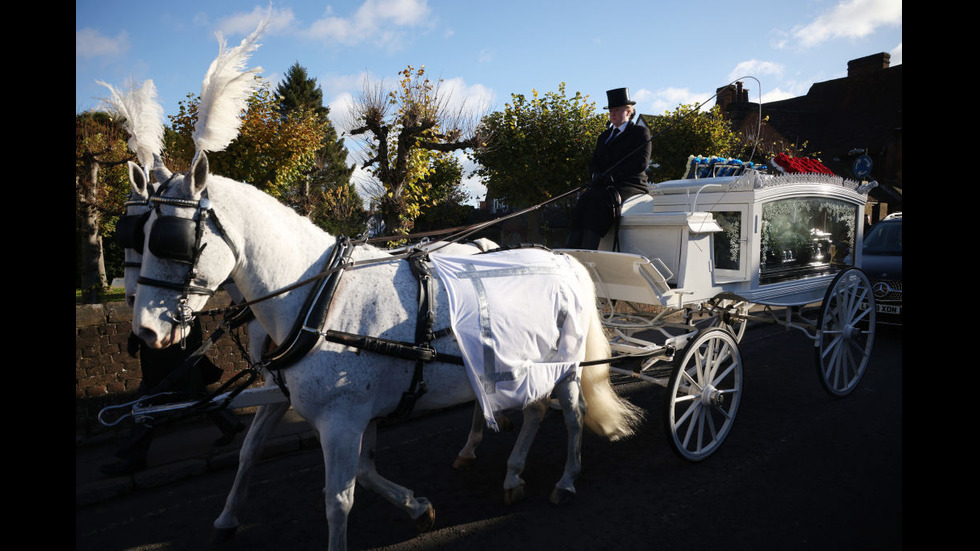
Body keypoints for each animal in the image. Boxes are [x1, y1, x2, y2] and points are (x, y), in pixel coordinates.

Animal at [132, 153, 644, 548]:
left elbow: (339, 499)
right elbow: (269, 454)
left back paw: (566, 480)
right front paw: (417, 506)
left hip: (566, 364)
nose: (145, 334)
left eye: (172, 241)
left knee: (573, 414)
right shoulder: (328, 406)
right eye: (138, 234)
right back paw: (512, 473)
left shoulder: (342, 418)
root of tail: (562, 258)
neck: (320, 297)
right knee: (536, 410)